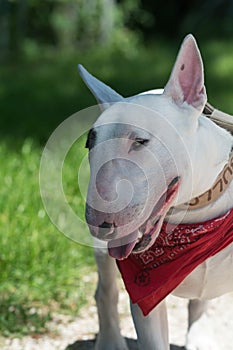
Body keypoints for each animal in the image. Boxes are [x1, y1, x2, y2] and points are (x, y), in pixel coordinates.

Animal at [79, 34, 233, 348]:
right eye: (90, 143)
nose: (99, 223)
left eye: (140, 141)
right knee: (105, 290)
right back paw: (110, 340)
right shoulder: (145, 299)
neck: (200, 212)